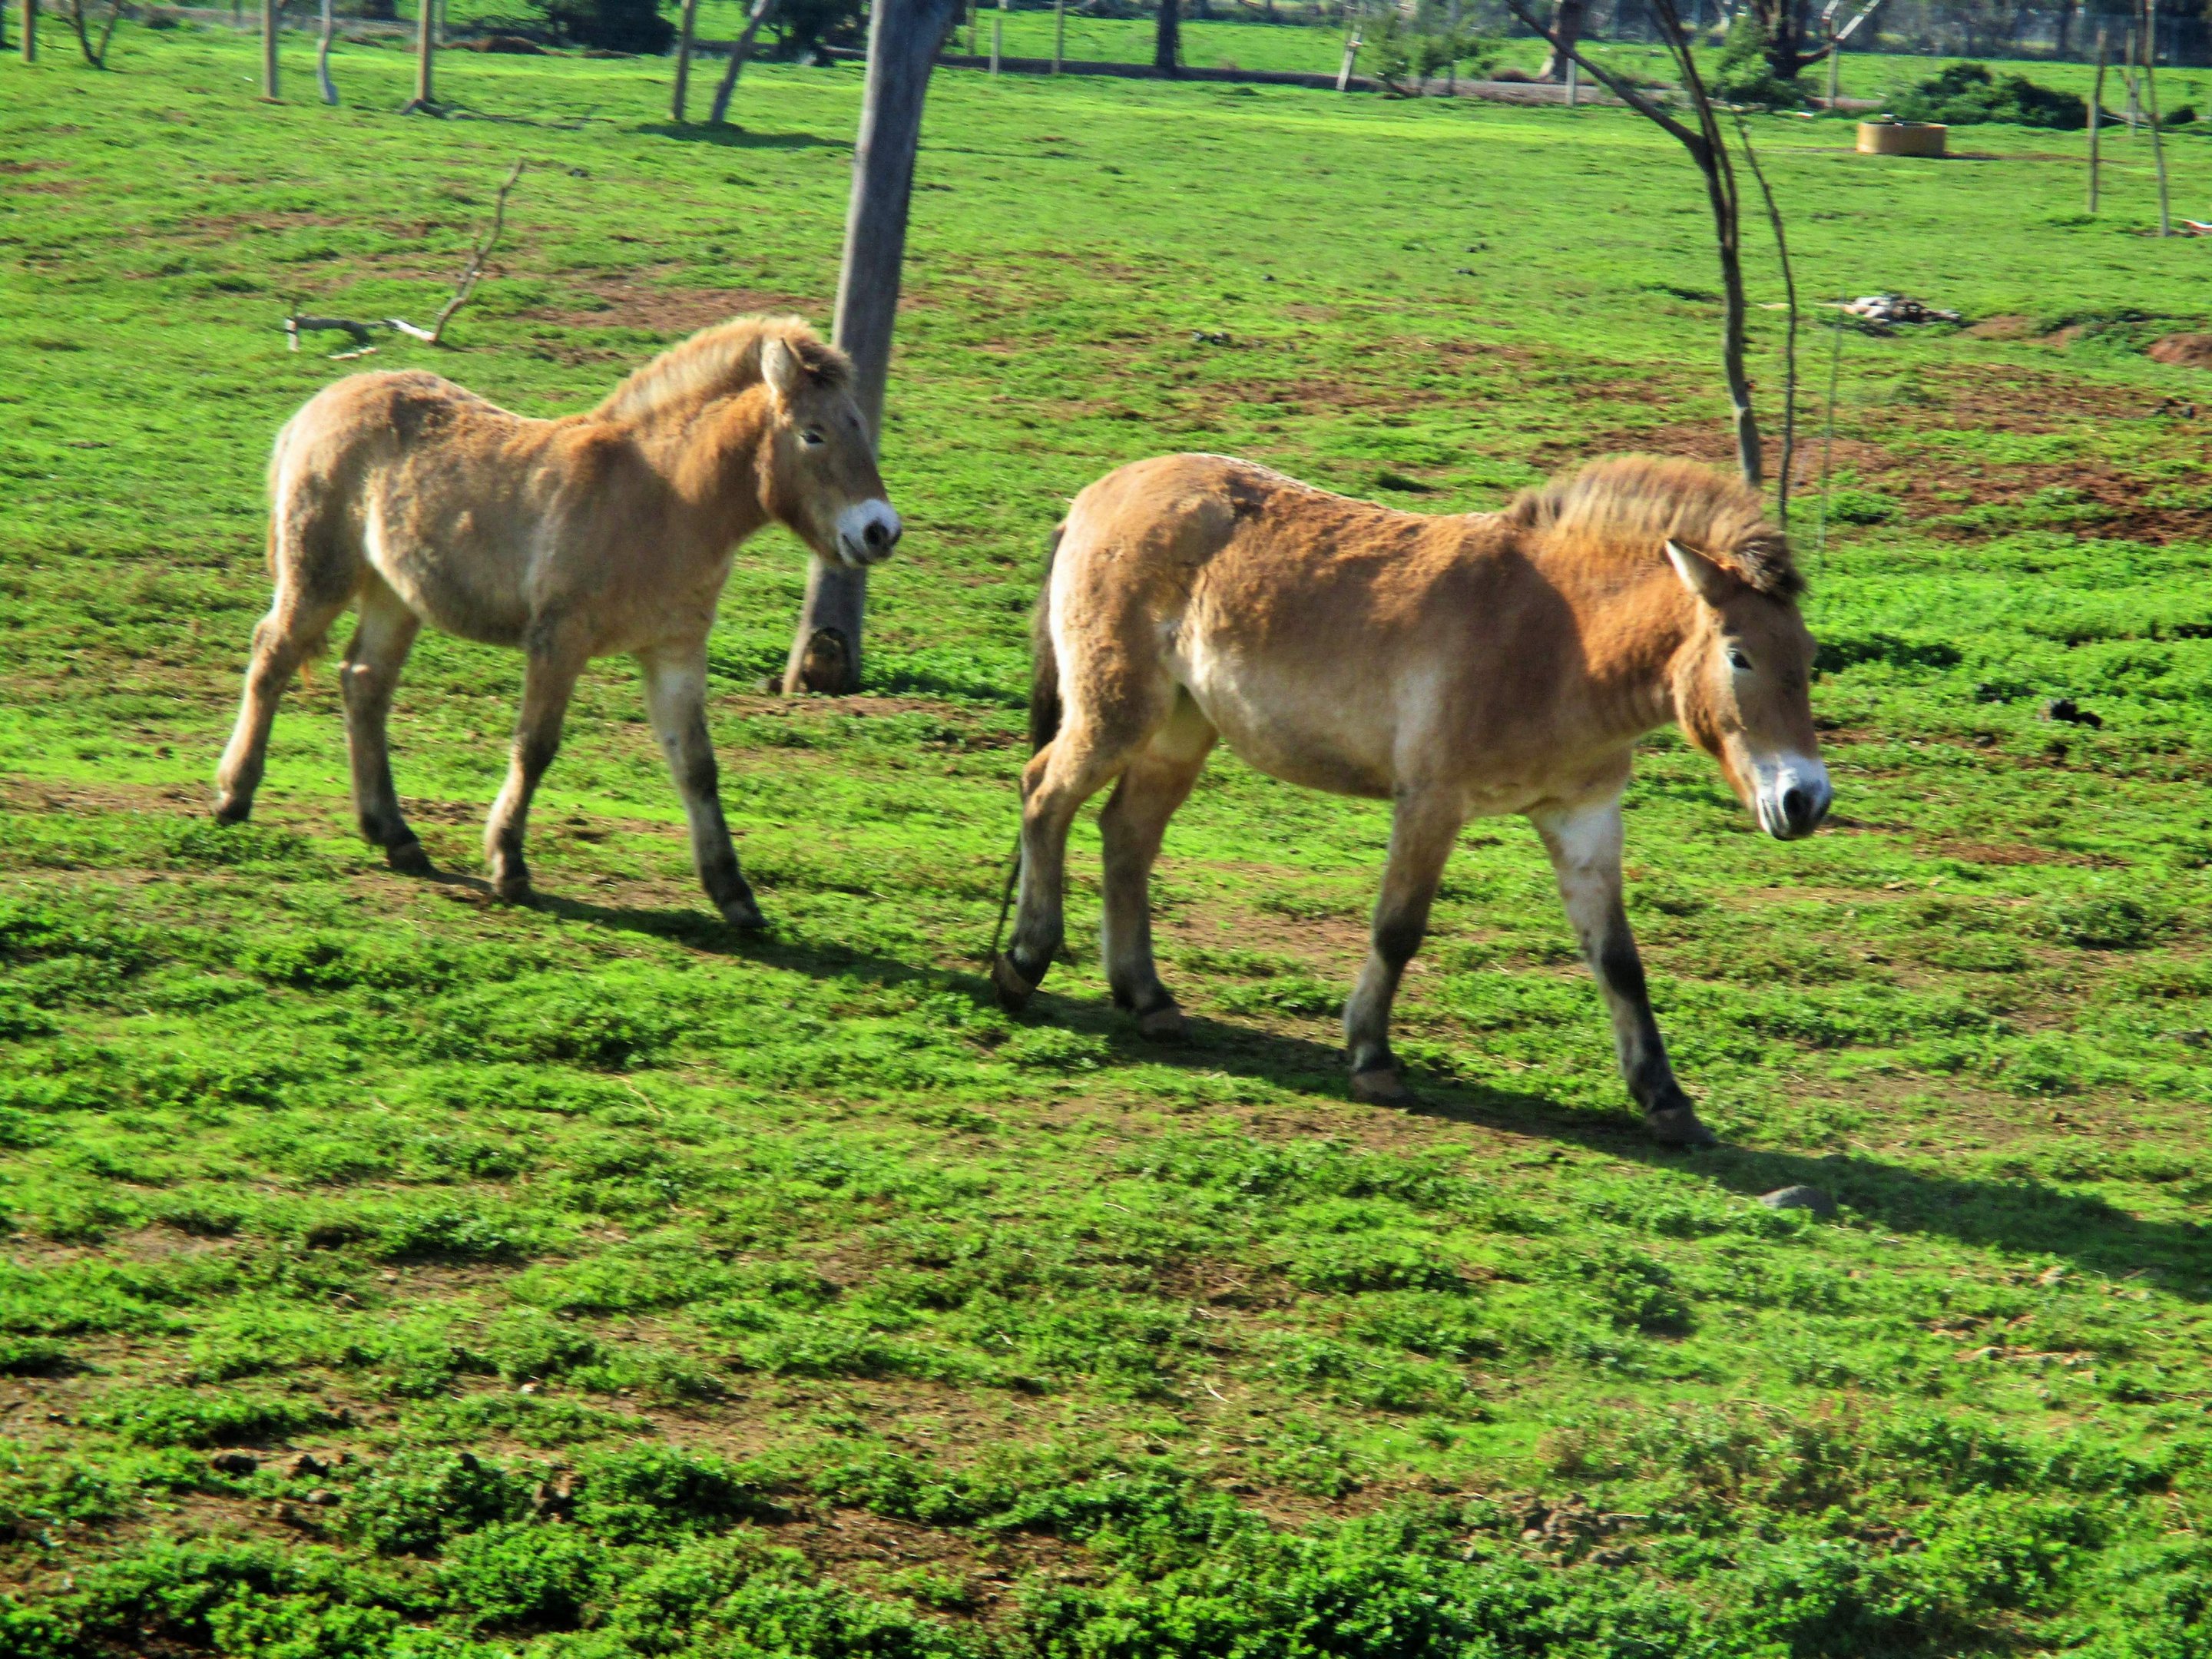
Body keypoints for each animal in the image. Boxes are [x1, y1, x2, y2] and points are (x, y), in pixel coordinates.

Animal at [213, 316, 901, 928]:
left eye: (860, 427)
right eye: (813, 434)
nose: (880, 531)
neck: (664, 500)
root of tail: (317, 406)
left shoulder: (676, 651)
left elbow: (697, 766)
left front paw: (735, 896)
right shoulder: (558, 641)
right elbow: (536, 745)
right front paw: (508, 867)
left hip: (394, 595)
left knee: (363, 682)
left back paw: (396, 836)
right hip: (320, 575)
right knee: (272, 655)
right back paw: (233, 795)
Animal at [990, 452, 1831, 1147]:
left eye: (1809, 657)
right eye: (1740, 656)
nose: (1806, 801)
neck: (1560, 645)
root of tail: (1095, 495)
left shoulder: (1584, 819)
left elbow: (1619, 961)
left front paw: (1666, 1100)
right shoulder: (1431, 802)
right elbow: (1398, 929)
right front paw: (1372, 1056)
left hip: (1178, 730)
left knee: (1125, 835)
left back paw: (1148, 998)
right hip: (1115, 712)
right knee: (1044, 797)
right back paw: (1023, 964)